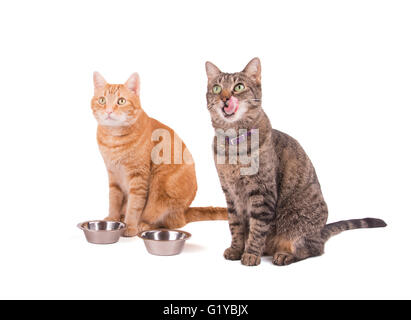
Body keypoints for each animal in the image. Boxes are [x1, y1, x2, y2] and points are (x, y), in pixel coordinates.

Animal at [91, 72, 227, 238]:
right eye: (102, 100)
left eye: (121, 101)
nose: (109, 111)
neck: (113, 138)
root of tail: (185, 211)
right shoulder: (113, 174)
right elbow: (114, 199)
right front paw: (112, 219)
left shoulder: (138, 177)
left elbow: (134, 205)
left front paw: (130, 226)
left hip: (160, 184)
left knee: (168, 222)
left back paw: (143, 225)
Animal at [206, 58, 390, 268]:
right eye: (217, 88)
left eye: (238, 87)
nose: (225, 98)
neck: (233, 145)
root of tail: (320, 232)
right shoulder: (230, 193)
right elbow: (235, 225)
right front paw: (236, 249)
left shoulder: (263, 193)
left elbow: (257, 228)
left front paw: (251, 253)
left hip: (298, 225)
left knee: (314, 248)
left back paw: (285, 255)